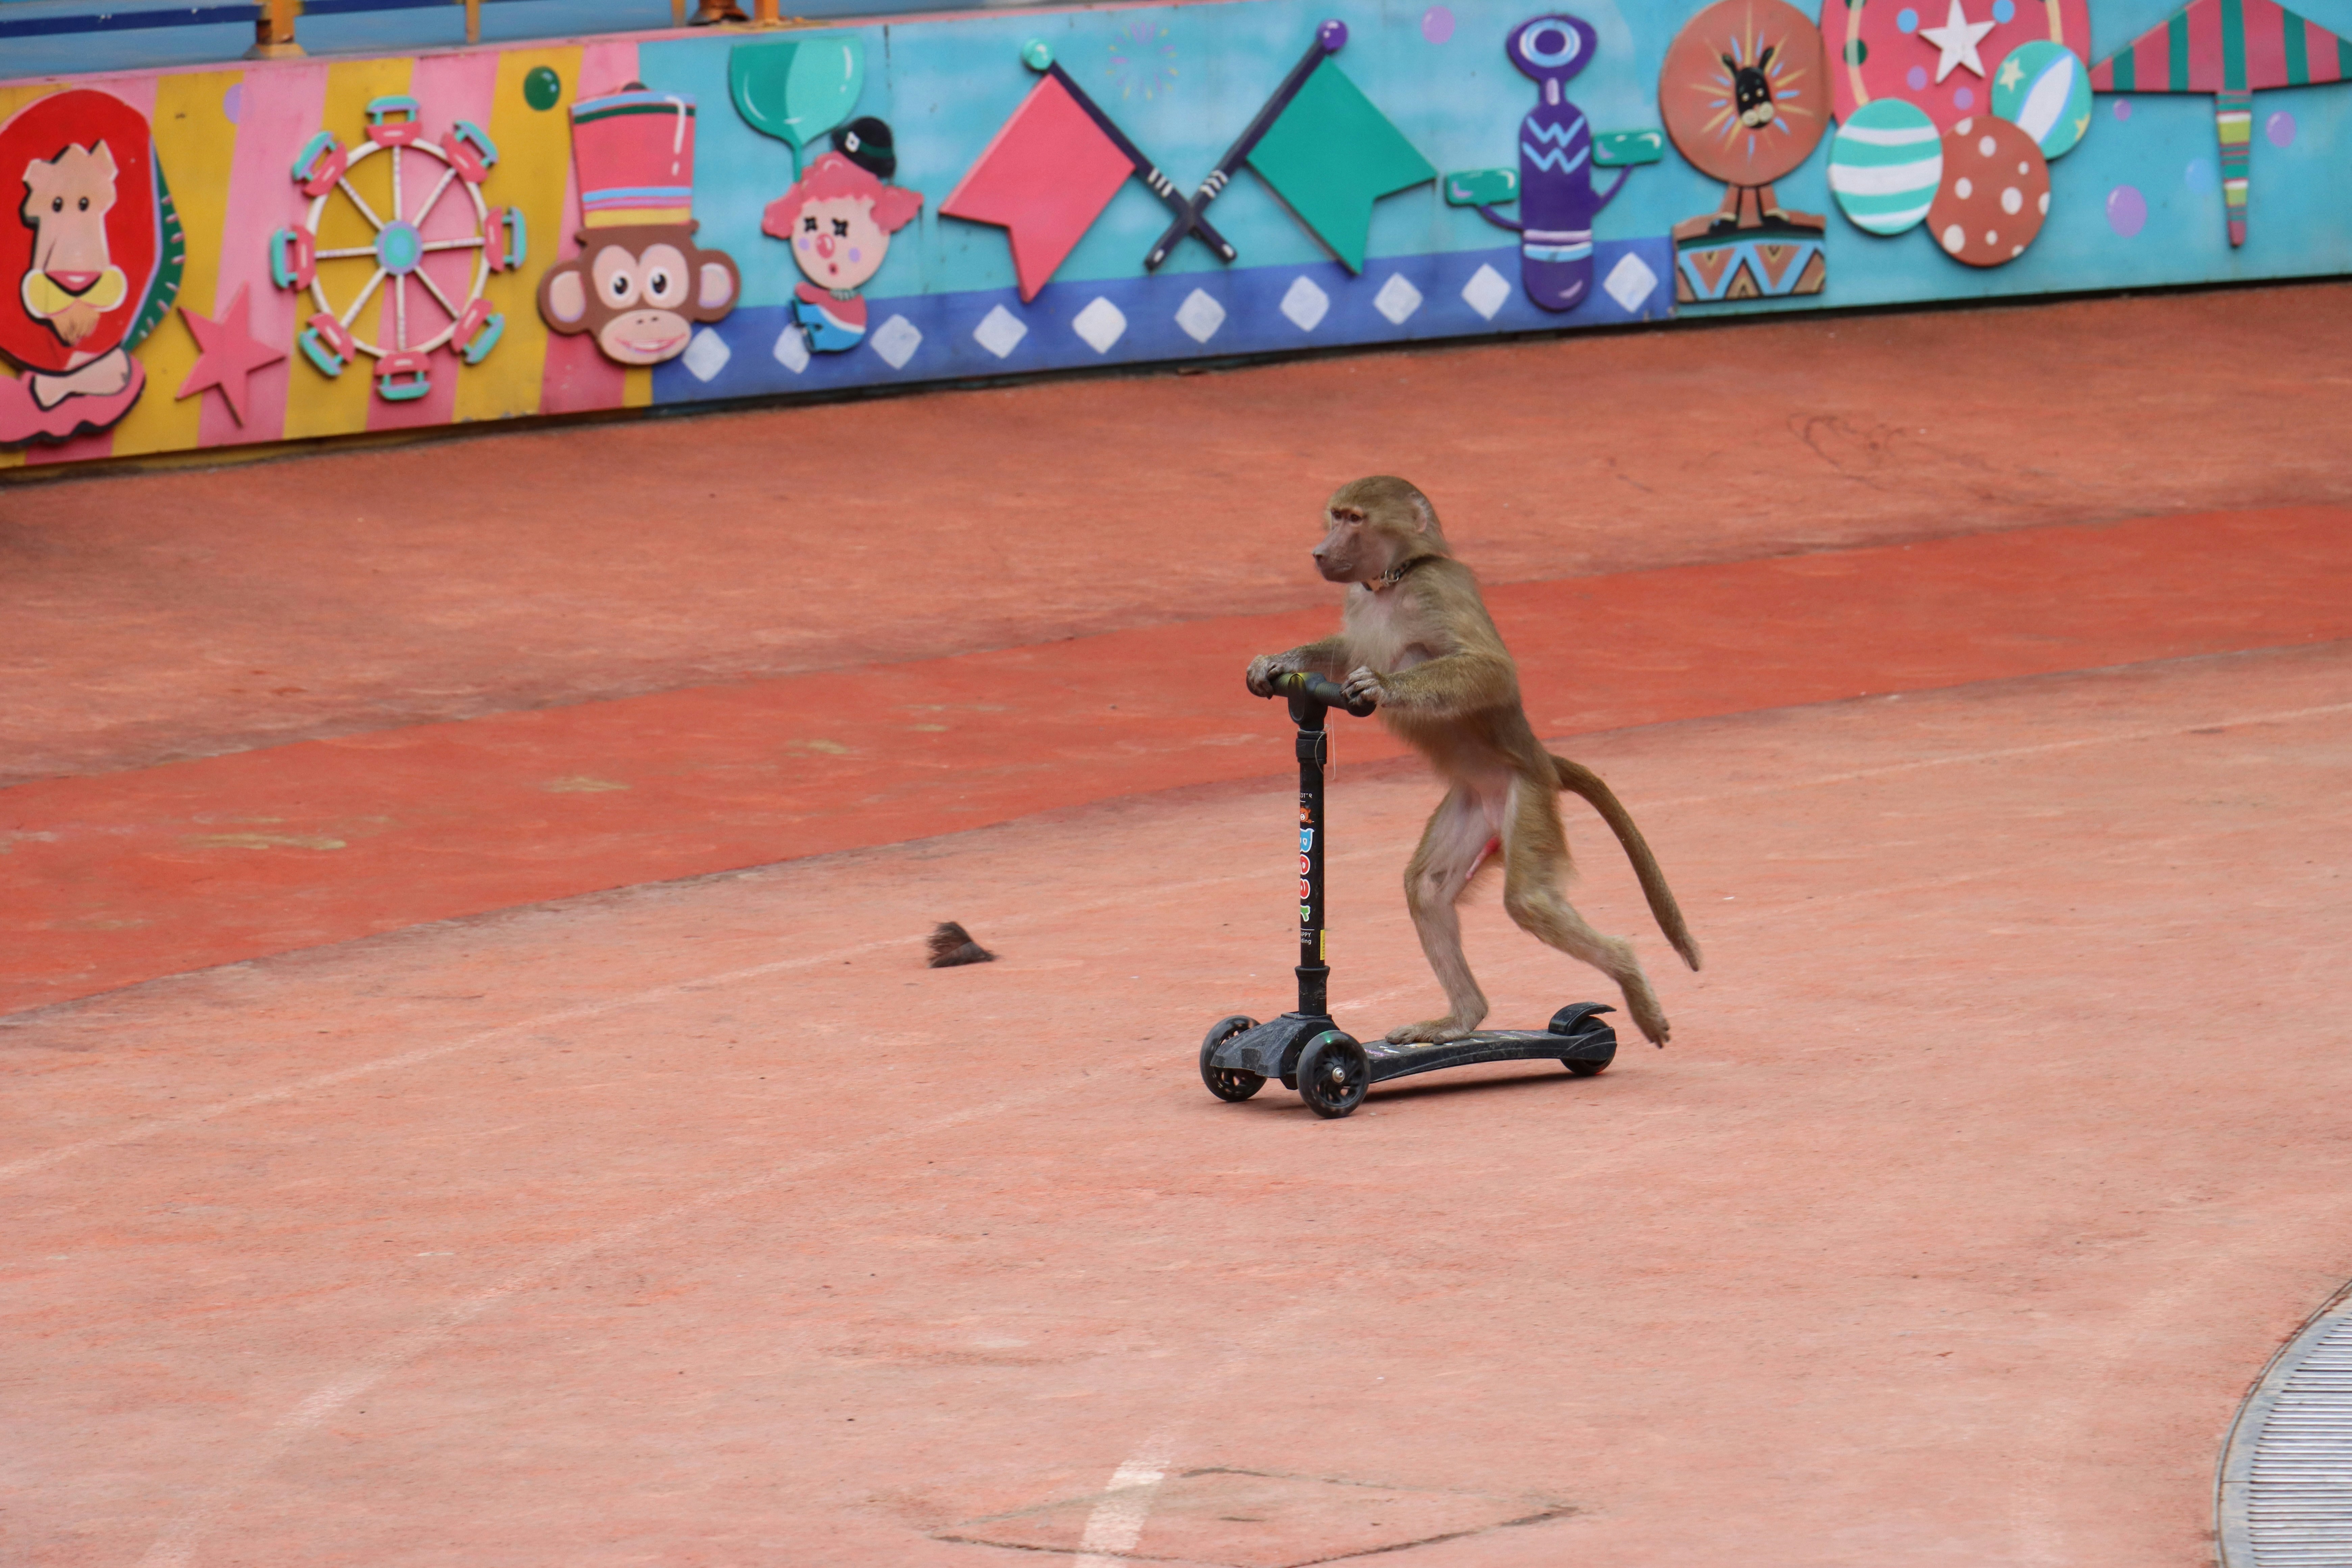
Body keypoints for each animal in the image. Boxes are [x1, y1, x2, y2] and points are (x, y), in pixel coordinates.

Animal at [1245, 477, 1701, 1047]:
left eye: (1354, 519)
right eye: (1336, 516)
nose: (1319, 552)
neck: (1393, 582)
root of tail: (1541, 759)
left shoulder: (1436, 591)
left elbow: (1491, 670)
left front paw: (1384, 685)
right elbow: (1347, 651)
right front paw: (1277, 664)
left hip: (1526, 796)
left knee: (1529, 900)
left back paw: (1627, 975)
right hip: (1473, 807)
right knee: (1427, 890)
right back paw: (1463, 1018)